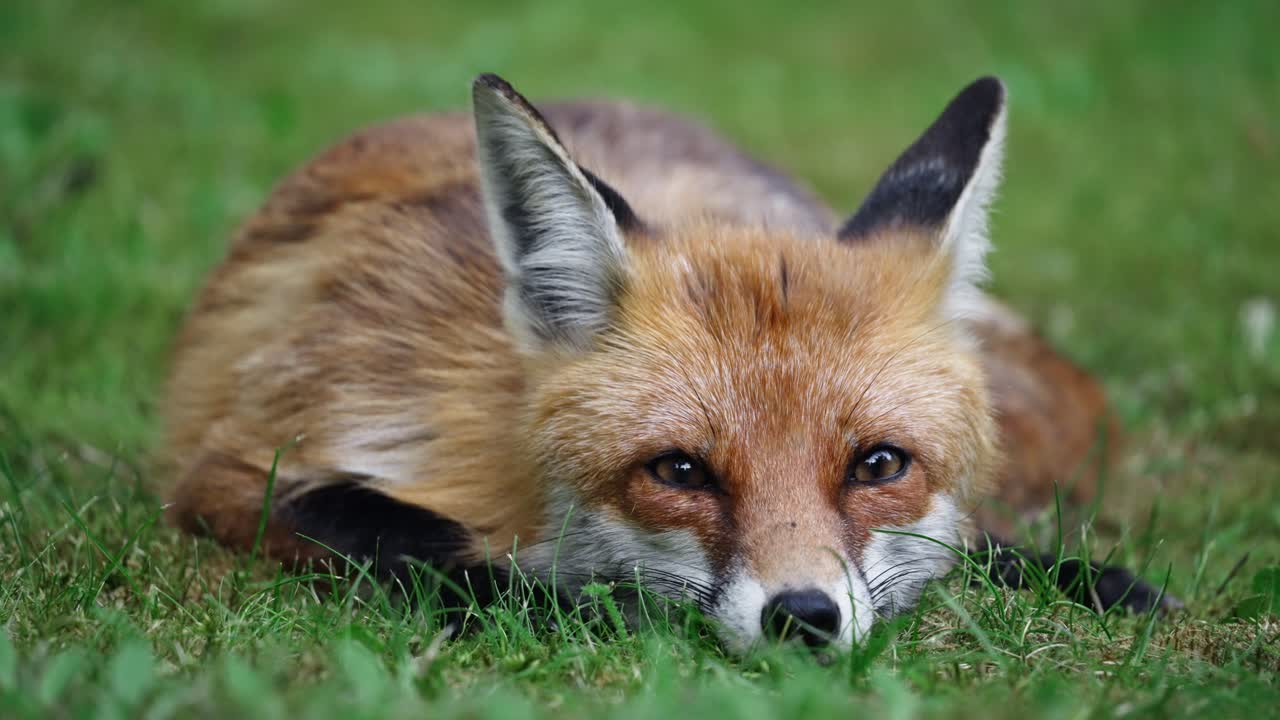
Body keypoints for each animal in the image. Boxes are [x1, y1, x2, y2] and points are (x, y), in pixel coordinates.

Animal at [162, 73, 1175, 652]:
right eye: (680, 471)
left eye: (880, 465)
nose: (803, 617)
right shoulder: (244, 468)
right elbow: (413, 543)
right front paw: (582, 607)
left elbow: (964, 538)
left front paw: (1085, 578)